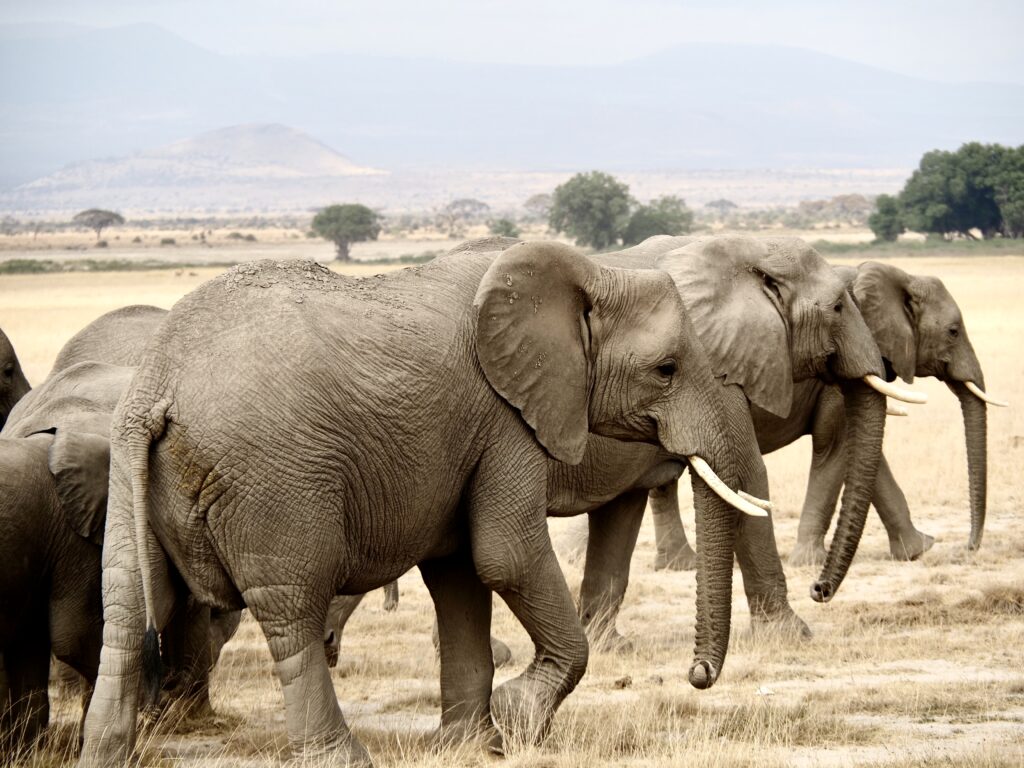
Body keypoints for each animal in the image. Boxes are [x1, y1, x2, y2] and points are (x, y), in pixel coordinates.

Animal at [77, 241, 753, 768]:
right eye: (666, 369)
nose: (697, 676)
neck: (588, 270)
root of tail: (159, 385)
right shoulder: (505, 420)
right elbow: (505, 555)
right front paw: (518, 721)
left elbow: (461, 574)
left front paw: (470, 743)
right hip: (274, 481)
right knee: (292, 610)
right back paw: (342, 757)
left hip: (128, 468)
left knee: (126, 603)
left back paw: (105, 756)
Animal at [782, 260, 1007, 565]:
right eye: (953, 331)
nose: (968, 548)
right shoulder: (841, 370)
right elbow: (835, 446)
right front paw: (809, 562)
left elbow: (867, 458)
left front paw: (919, 549)